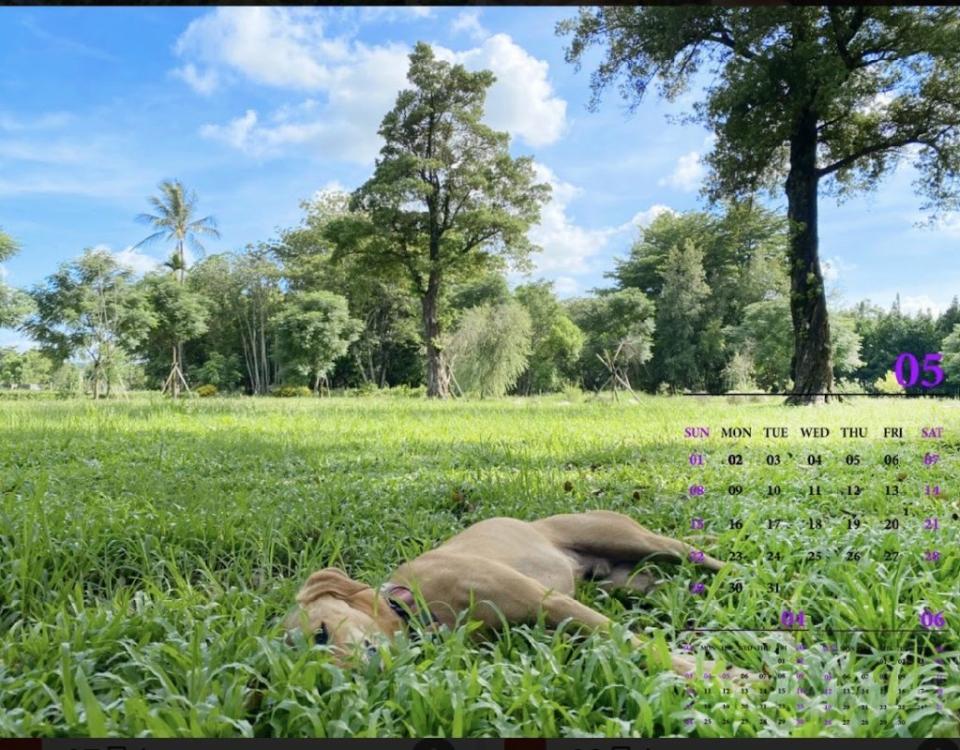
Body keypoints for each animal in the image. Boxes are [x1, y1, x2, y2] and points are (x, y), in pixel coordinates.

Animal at [284, 512, 756, 680]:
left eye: (321, 633)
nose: (343, 679)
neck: (414, 606)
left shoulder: (551, 602)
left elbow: (629, 640)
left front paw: (719, 675)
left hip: (625, 536)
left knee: (690, 550)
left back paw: (740, 570)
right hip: (624, 580)